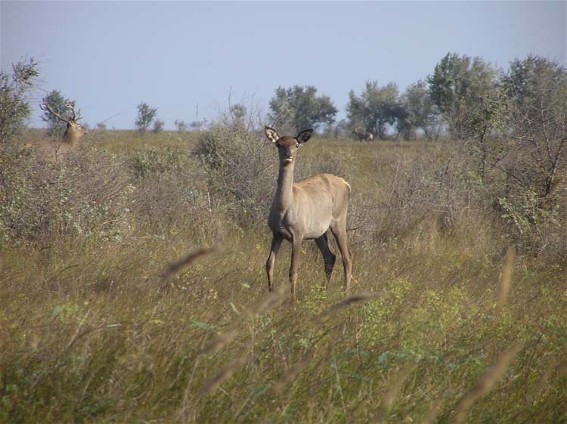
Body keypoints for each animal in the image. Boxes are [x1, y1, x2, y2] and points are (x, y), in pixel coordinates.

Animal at [266, 126, 352, 302]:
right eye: (279, 144)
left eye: (296, 144)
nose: (288, 156)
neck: (284, 207)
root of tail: (346, 184)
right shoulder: (276, 234)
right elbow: (269, 264)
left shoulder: (297, 235)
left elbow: (293, 270)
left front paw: (292, 302)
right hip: (319, 234)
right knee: (330, 256)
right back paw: (323, 293)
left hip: (339, 223)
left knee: (346, 258)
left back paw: (345, 294)